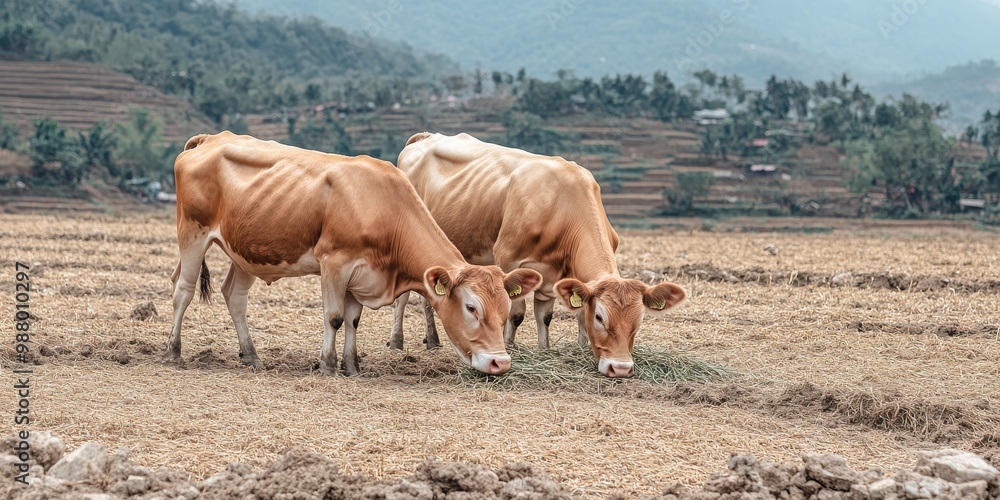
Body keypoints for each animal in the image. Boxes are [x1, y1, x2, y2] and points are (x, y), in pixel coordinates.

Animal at [168, 131, 542, 376]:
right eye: (471, 307)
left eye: (505, 308)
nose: (500, 362)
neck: (385, 207)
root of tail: (210, 138)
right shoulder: (335, 263)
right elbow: (334, 317)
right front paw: (328, 365)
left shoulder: (361, 275)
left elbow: (353, 319)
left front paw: (353, 364)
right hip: (193, 234)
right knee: (182, 291)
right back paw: (174, 350)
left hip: (245, 251)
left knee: (234, 296)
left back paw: (252, 356)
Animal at [389, 132, 687, 378]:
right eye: (601, 318)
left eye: (638, 321)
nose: (621, 368)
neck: (562, 206)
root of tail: (426, 136)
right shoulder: (509, 258)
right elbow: (515, 314)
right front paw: (508, 345)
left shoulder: (555, 276)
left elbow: (549, 316)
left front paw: (552, 351)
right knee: (403, 297)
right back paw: (396, 340)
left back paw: (433, 340)